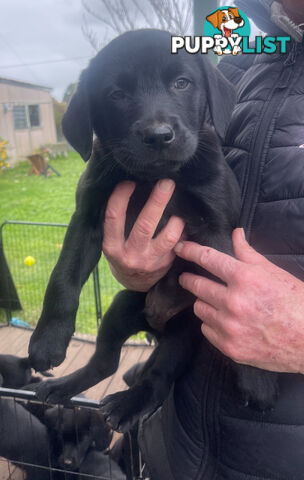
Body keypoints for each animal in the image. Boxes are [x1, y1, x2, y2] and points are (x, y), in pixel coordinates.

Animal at [27, 28, 276, 430]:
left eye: (181, 83)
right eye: (116, 94)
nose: (158, 136)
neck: (153, 178)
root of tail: (156, 330)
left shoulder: (215, 232)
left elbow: (238, 291)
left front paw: (257, 377)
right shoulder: (87, 217)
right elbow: (62, 278)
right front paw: (47, 342)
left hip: (186, 334)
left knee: (159, 380)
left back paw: (129, 403)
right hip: (120, 308)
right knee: (106, 363)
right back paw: (65, 386)